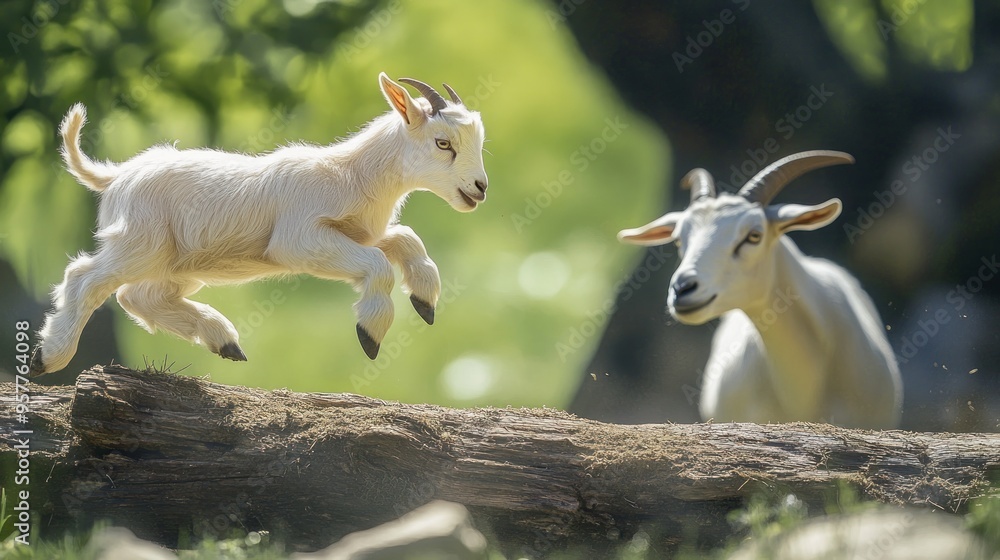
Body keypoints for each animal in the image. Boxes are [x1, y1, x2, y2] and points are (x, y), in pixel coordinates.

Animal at [30, 73, 488, 376]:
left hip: (176, 262)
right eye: (443, 143)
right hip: (139, 242)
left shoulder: (363, 231)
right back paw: (47, 358)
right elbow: (377, 263)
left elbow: (405, 240)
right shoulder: (298, 239)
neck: (352, 175)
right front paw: (370, 335)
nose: (480, 189)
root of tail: (115, 176)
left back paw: (223, 340)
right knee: (85, 279)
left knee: (139, 296)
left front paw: (425, 302)